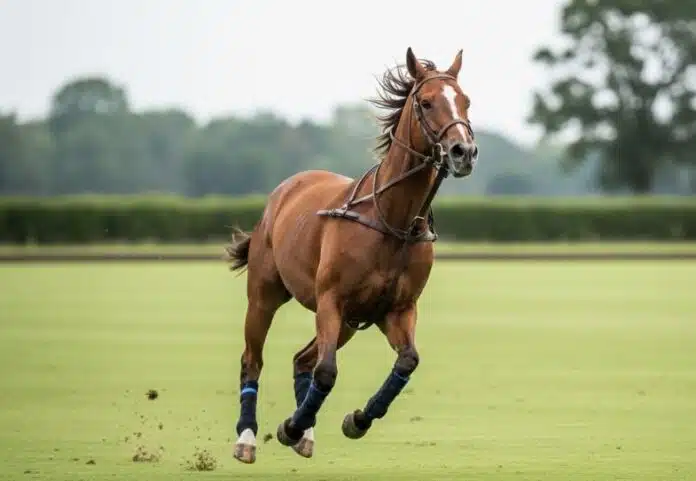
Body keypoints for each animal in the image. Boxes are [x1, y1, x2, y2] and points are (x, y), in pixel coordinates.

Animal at [225, 47, 478, 464]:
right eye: (426, 102)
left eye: (466, 101)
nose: (464, 152)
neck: (393, 220)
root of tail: (286, 189)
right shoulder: (332, 299)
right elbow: (327, 372)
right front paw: (290, 426)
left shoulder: (396, 309)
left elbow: (407, 360)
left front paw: (355, 420)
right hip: (265, 294)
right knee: (254, 359)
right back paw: (248, 438)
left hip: (346, 323)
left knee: (303, 358)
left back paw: (305, 432)